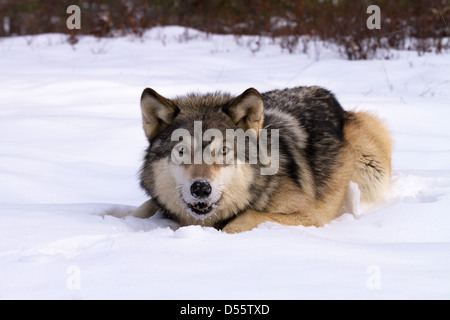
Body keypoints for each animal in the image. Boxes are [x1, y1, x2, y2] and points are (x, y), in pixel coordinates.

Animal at [129, 86, 390, 234]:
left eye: (223, 151)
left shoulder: (310, 217)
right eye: (181, 151)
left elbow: (245, 218)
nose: (201, 188)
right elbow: (140, 210)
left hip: (371, 169)